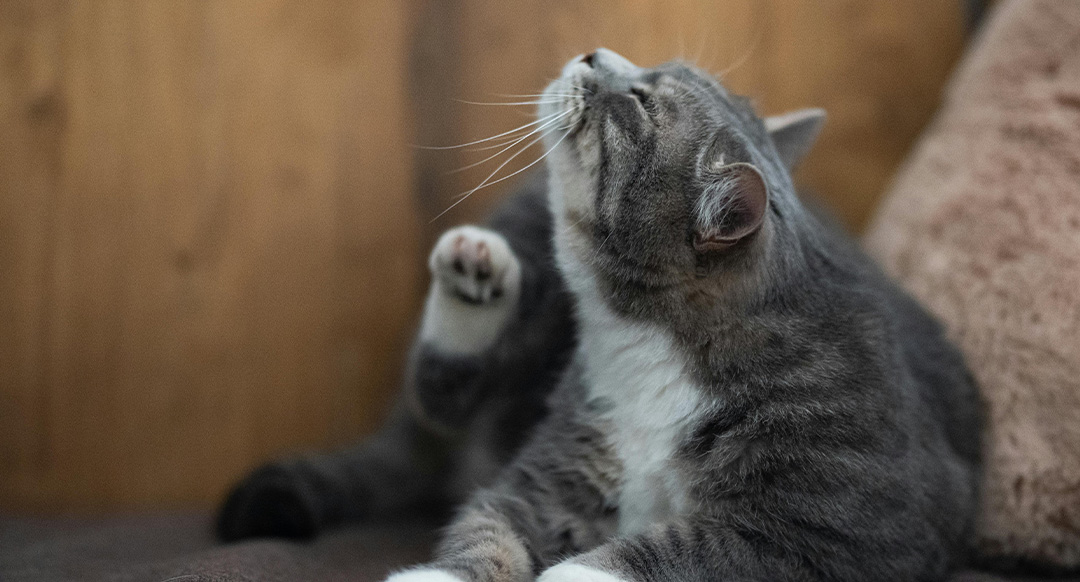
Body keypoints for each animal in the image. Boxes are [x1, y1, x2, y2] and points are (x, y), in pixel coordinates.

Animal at [378, 48, 980, 582]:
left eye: (642, 102)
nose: (592, 53)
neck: (649, 345)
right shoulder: (550, 473)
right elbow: (489, 526)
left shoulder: (846, 531)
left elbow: (694, 548)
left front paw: (577, 571)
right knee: (441, 397)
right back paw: (474, 271)